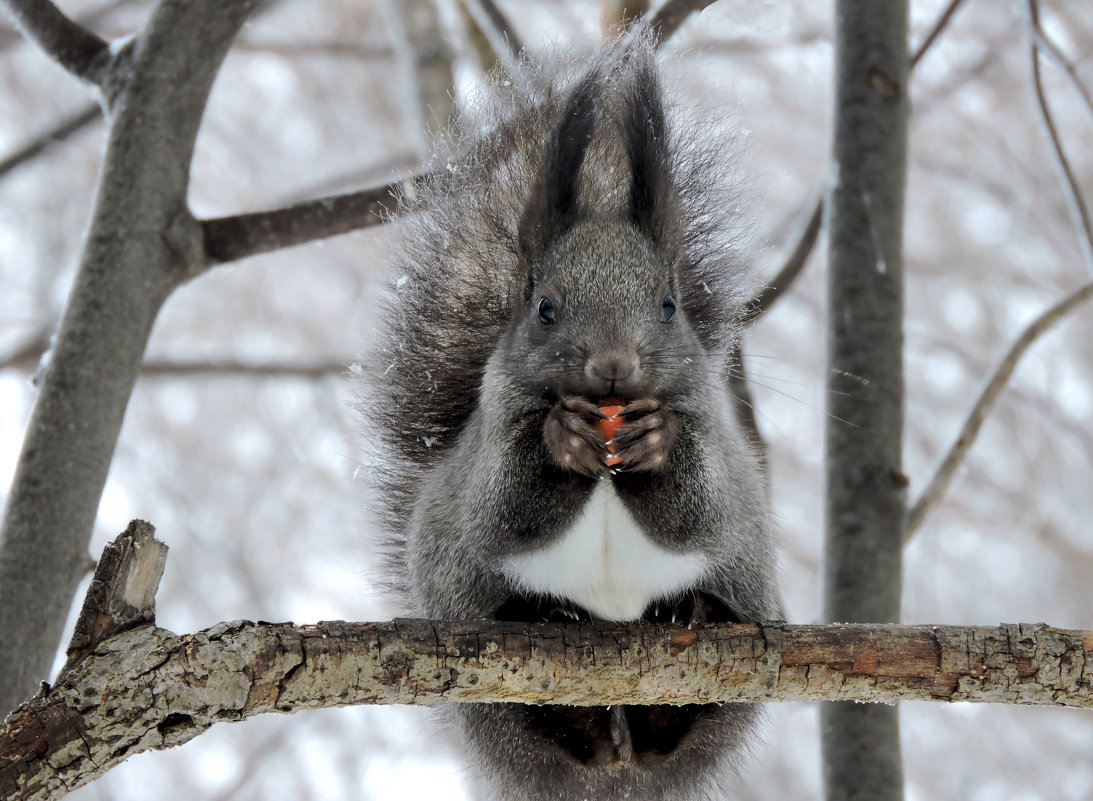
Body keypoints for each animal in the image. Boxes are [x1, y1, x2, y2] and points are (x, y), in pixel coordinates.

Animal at [362, 34, 782, 799]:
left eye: (668, 306)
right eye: (544, 307)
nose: (612, 364)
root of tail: (618, 768)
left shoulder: (715, 437)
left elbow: (696, 509)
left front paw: (658, 443)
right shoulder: (490, 440)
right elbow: (503, 509)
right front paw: (560, 441)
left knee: (680, 727)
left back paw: (687, 631)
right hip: (490, 690)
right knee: (548, 723)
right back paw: (558, 655)